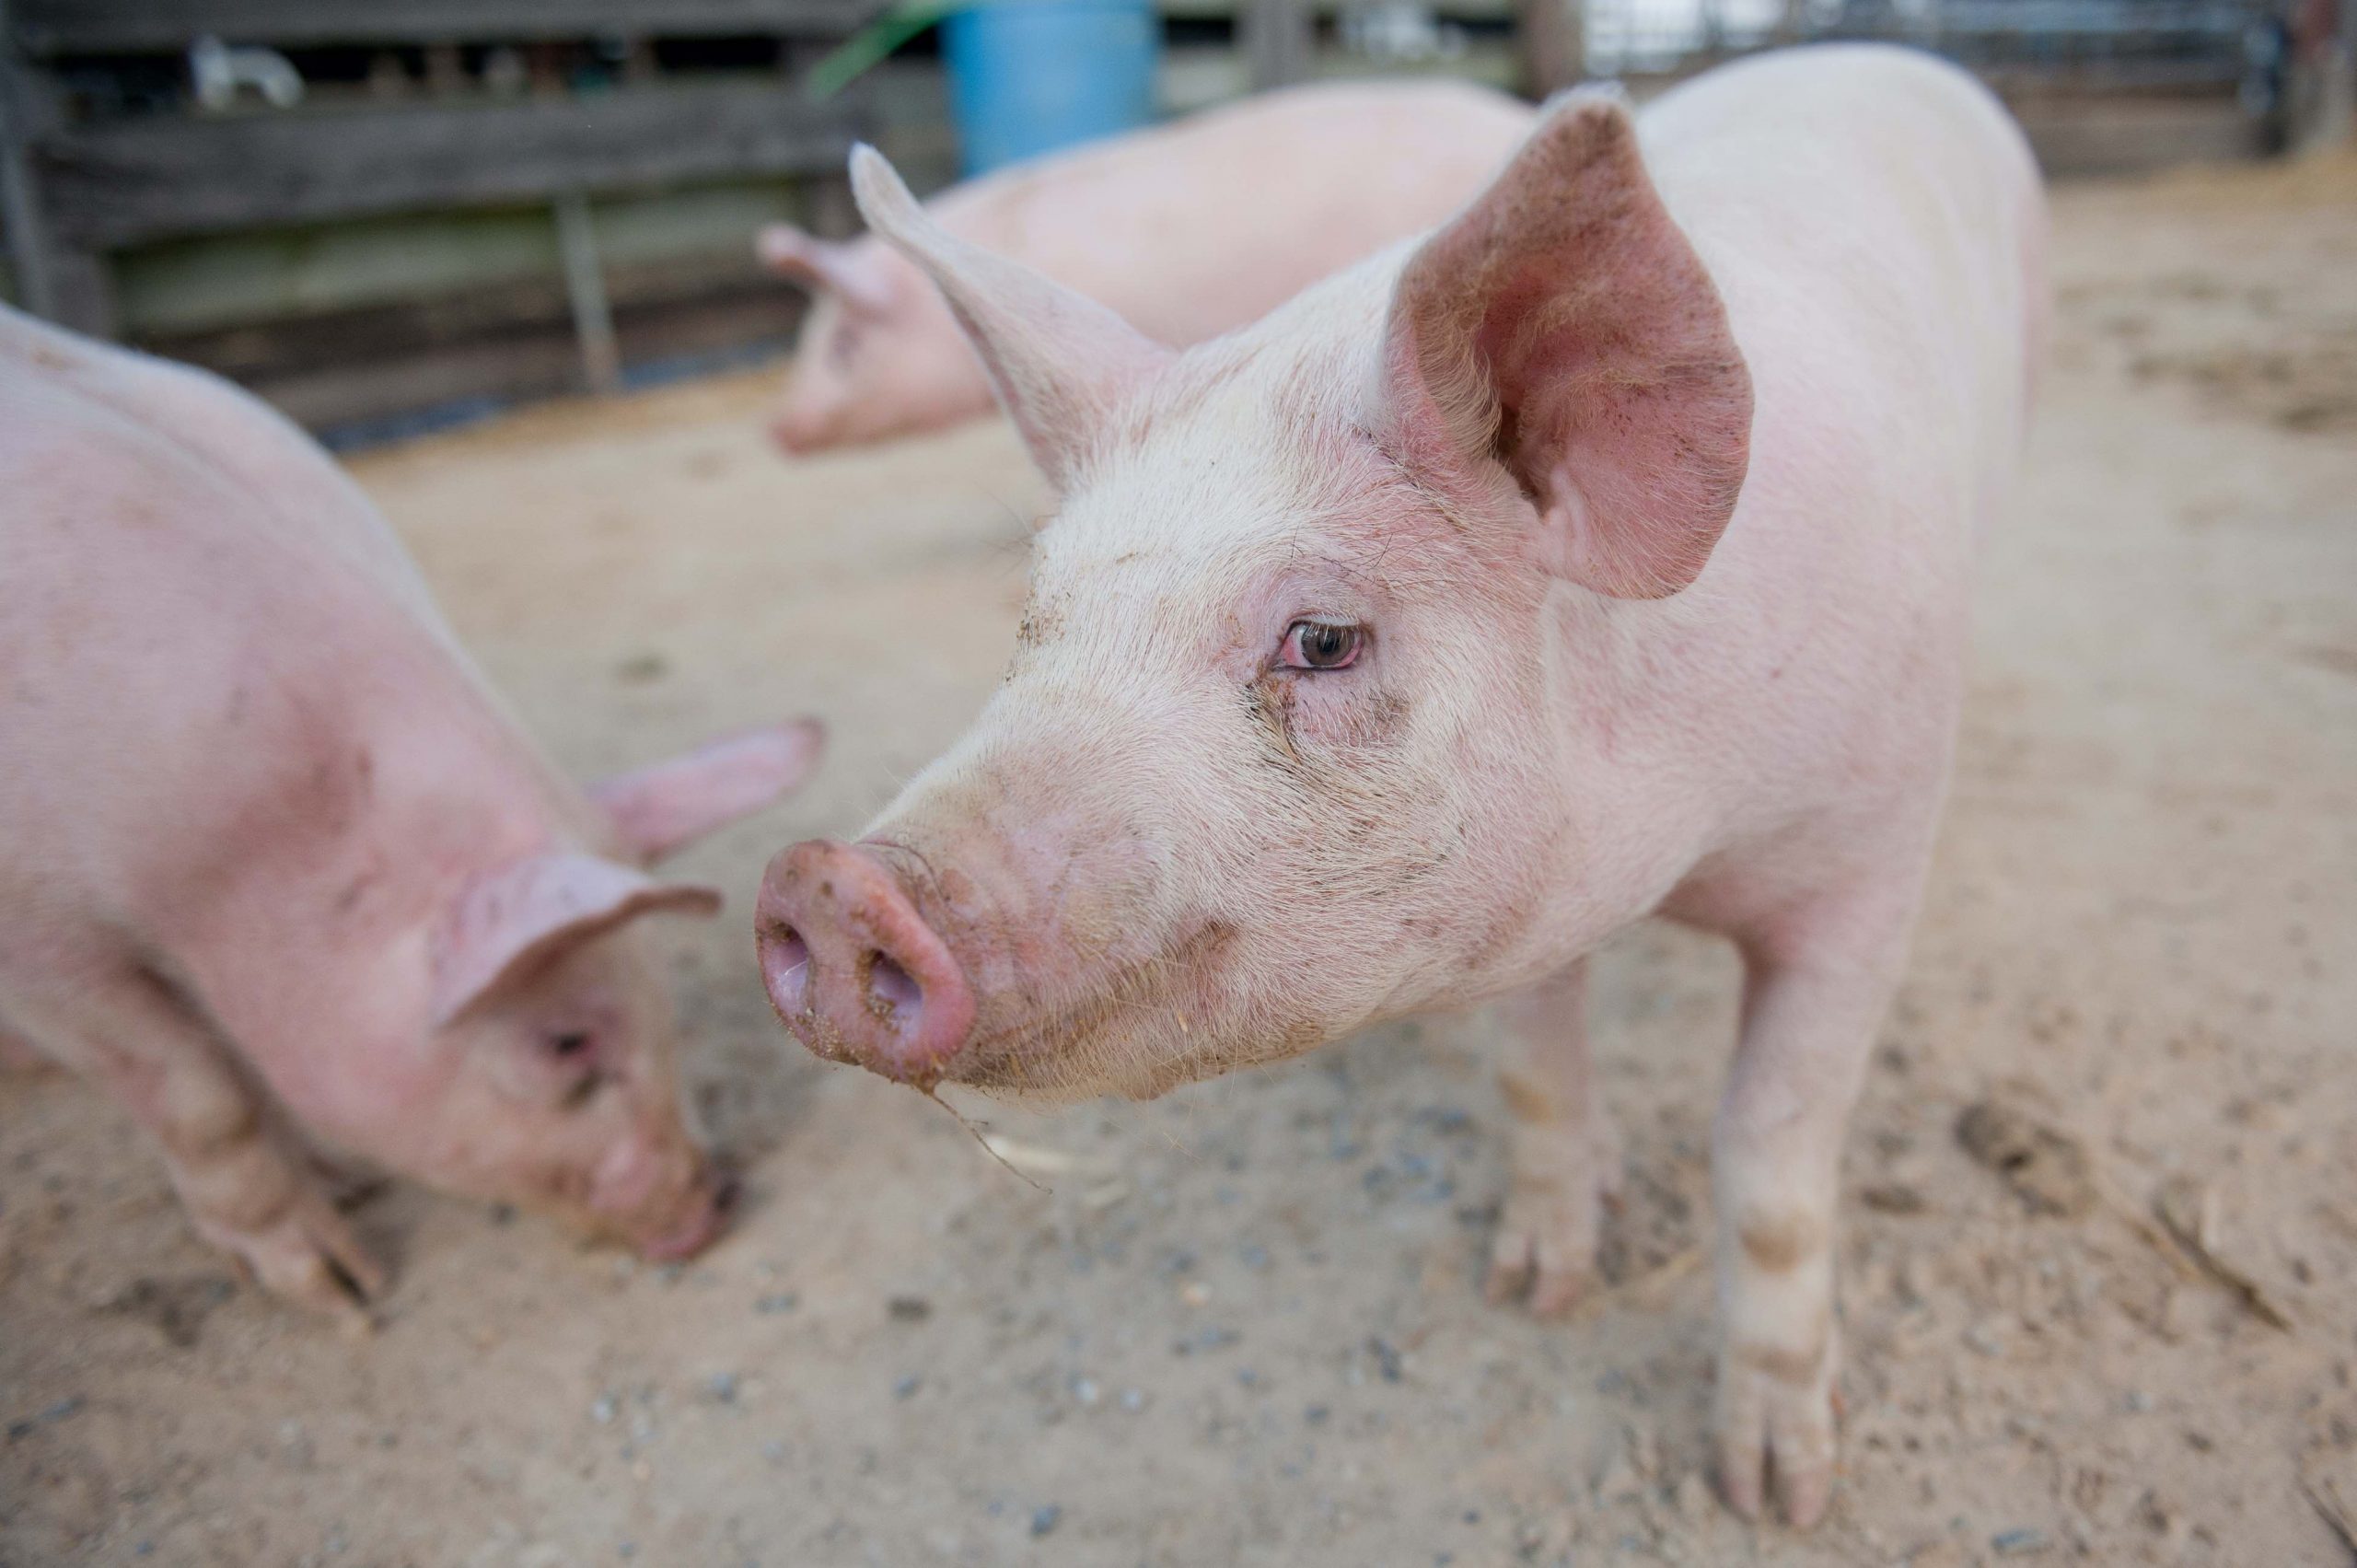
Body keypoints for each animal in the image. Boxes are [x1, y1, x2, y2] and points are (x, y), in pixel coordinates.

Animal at [0, 311, 830, 1330]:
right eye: (565, 1041)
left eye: (665, 1001)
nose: (717, 1203)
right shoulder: (43, 943)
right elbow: (203, 1097)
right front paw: (347, 1294)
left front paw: (345, 1188)